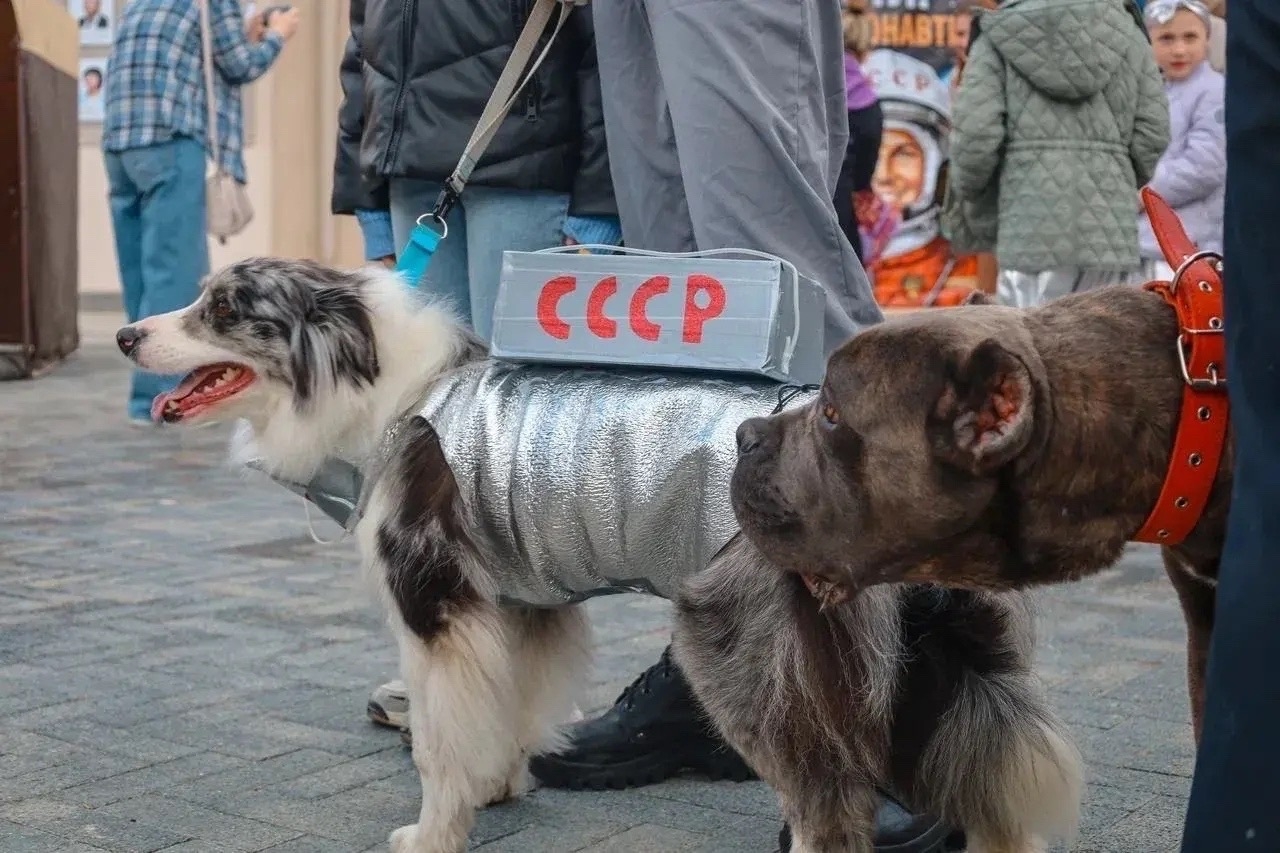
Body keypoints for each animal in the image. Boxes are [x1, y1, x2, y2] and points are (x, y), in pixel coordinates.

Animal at [118, 258, 1083, 853]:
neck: (387, 390)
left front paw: (434, 832)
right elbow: (503, 712)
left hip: (748, 648)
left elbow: (437, 740)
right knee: (993, 794)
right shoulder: (517, 602)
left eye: (224, 309)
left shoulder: (435, 605)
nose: (127, 335)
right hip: (942, 654)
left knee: (830, 804)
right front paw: (497, 788)